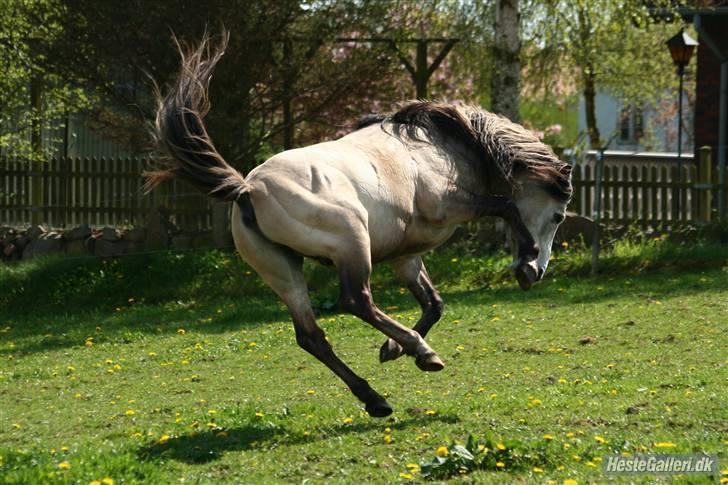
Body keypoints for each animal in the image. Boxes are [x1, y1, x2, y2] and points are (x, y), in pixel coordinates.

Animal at [145, 33, 572, 416]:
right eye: (558, 216)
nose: (537, 273)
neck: (446, 145)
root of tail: (248, 189)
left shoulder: (407, 256)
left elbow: (434, 303)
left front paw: (392, 350)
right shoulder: (447, 205)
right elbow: (506, 206)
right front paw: (526, 254)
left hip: (283, 269)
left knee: (312, 335)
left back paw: (376, 397)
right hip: (352, 244)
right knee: (356, 301)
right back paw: (420, 353)